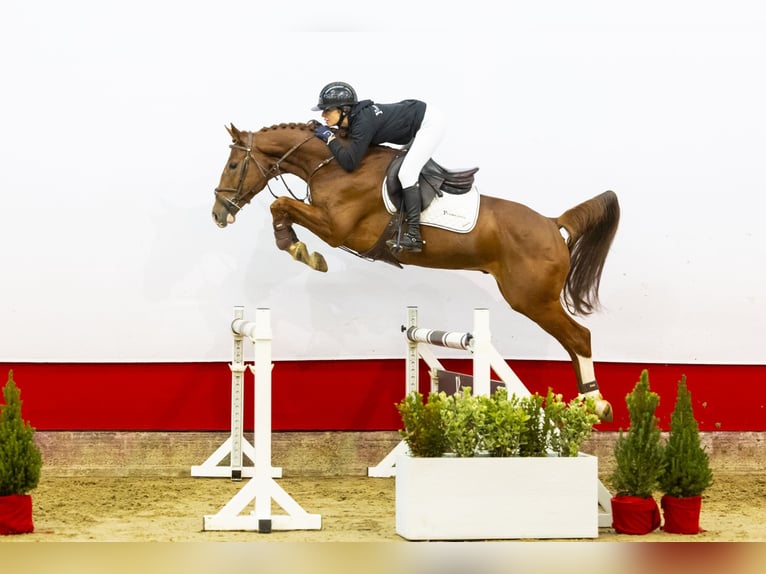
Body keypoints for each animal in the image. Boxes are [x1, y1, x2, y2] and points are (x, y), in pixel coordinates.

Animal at [213, 121, 620, 420]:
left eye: (233, 165)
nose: (219, 213)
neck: (333, 165)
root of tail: (553, 223)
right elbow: (281, 207)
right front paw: (296, 246)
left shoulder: (337, 228)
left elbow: (280, 204)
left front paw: (299, 249)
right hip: (536, 300)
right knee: (572, 342)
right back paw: (586, 400)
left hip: (532, 299)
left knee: (580, 337)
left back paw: (596, 402)